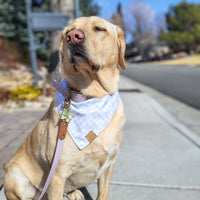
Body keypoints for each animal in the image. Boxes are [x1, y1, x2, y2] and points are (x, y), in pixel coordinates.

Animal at [3, 16, 126, 199]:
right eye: (68, 31)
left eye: (99, 28)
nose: (73, 37)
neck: (90, 96)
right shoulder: (57, 174)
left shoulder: (109, 165)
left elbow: (102, 194)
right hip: (16, 176)